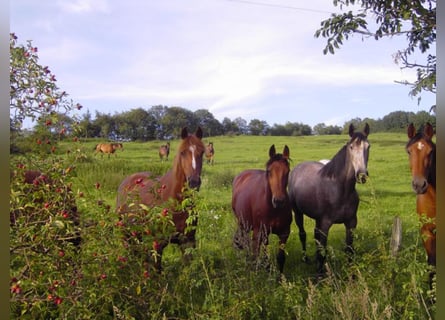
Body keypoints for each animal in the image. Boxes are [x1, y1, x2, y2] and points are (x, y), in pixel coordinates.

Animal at [115, 127, 204, 270]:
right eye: (182, 152)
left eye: (202, 152)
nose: (194, 182)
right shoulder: (158, 245)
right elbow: (157, 270)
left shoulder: (187, 243)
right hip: (126, 233)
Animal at [286, 122, 370, 276]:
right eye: (351, 147)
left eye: (368, 146)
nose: (361, 175)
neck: (340, 190)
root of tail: (297, 168)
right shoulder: (325, 224)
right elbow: (323, 251)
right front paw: (320, 275)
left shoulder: (351, 223)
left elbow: (349, 250)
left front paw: (352, 275)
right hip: (298, 213)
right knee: (303, 234)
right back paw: (305, 258)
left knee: (315, 236)